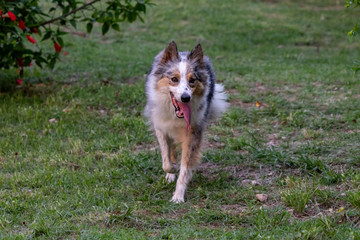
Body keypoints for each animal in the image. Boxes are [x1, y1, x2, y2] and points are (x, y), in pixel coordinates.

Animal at [144, 41, 226, 202]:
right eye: (174, 79)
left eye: (192, 80)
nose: (185, 97)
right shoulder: (161, 127)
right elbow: (166, 159)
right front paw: (172, 170)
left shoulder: (193, 133)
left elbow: (185, 165)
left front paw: (178, 196)